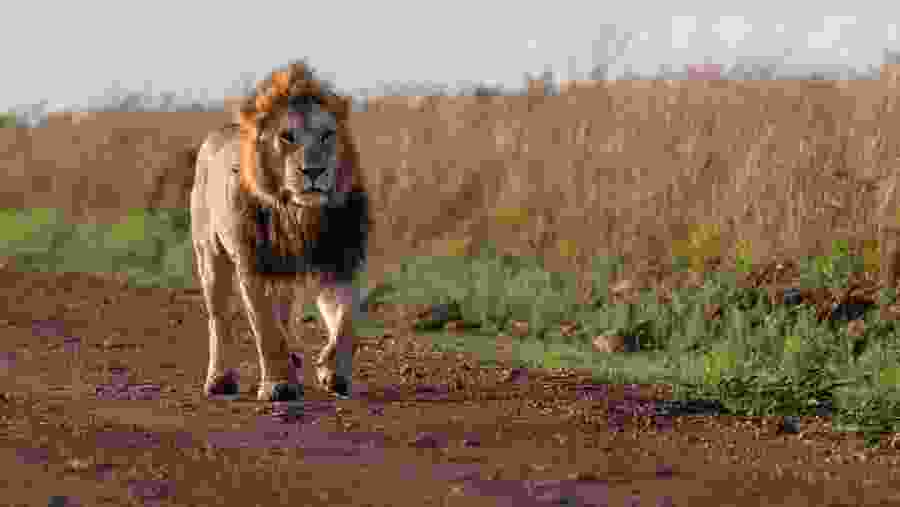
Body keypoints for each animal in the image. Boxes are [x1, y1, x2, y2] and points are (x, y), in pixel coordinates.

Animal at [190, 60, 372, 405]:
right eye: (287, 136)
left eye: (327, 134)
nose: (314, 171)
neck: (299, 214)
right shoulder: (253, 265)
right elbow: (266, 328)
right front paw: (279, 385)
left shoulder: (341, 259)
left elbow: (347, 320)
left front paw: (334, 374)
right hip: (209, 254)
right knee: (218, 318)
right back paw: (219, 380)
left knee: (284, 308)